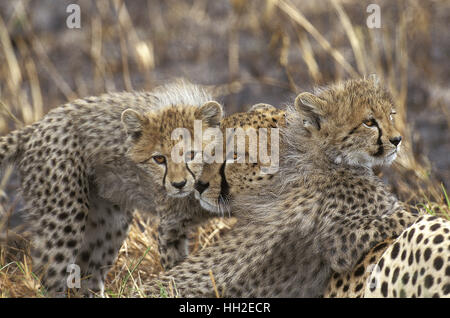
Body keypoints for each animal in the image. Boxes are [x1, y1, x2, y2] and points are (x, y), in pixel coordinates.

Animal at [0, 81, 222, 296]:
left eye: (192, 154)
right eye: (159, 159)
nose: (178, 185)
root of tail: (38, 124)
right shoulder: (171, 228)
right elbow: (176, 270)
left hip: (109, 222)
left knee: (88, 276)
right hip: (65, 218)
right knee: (51, 278)